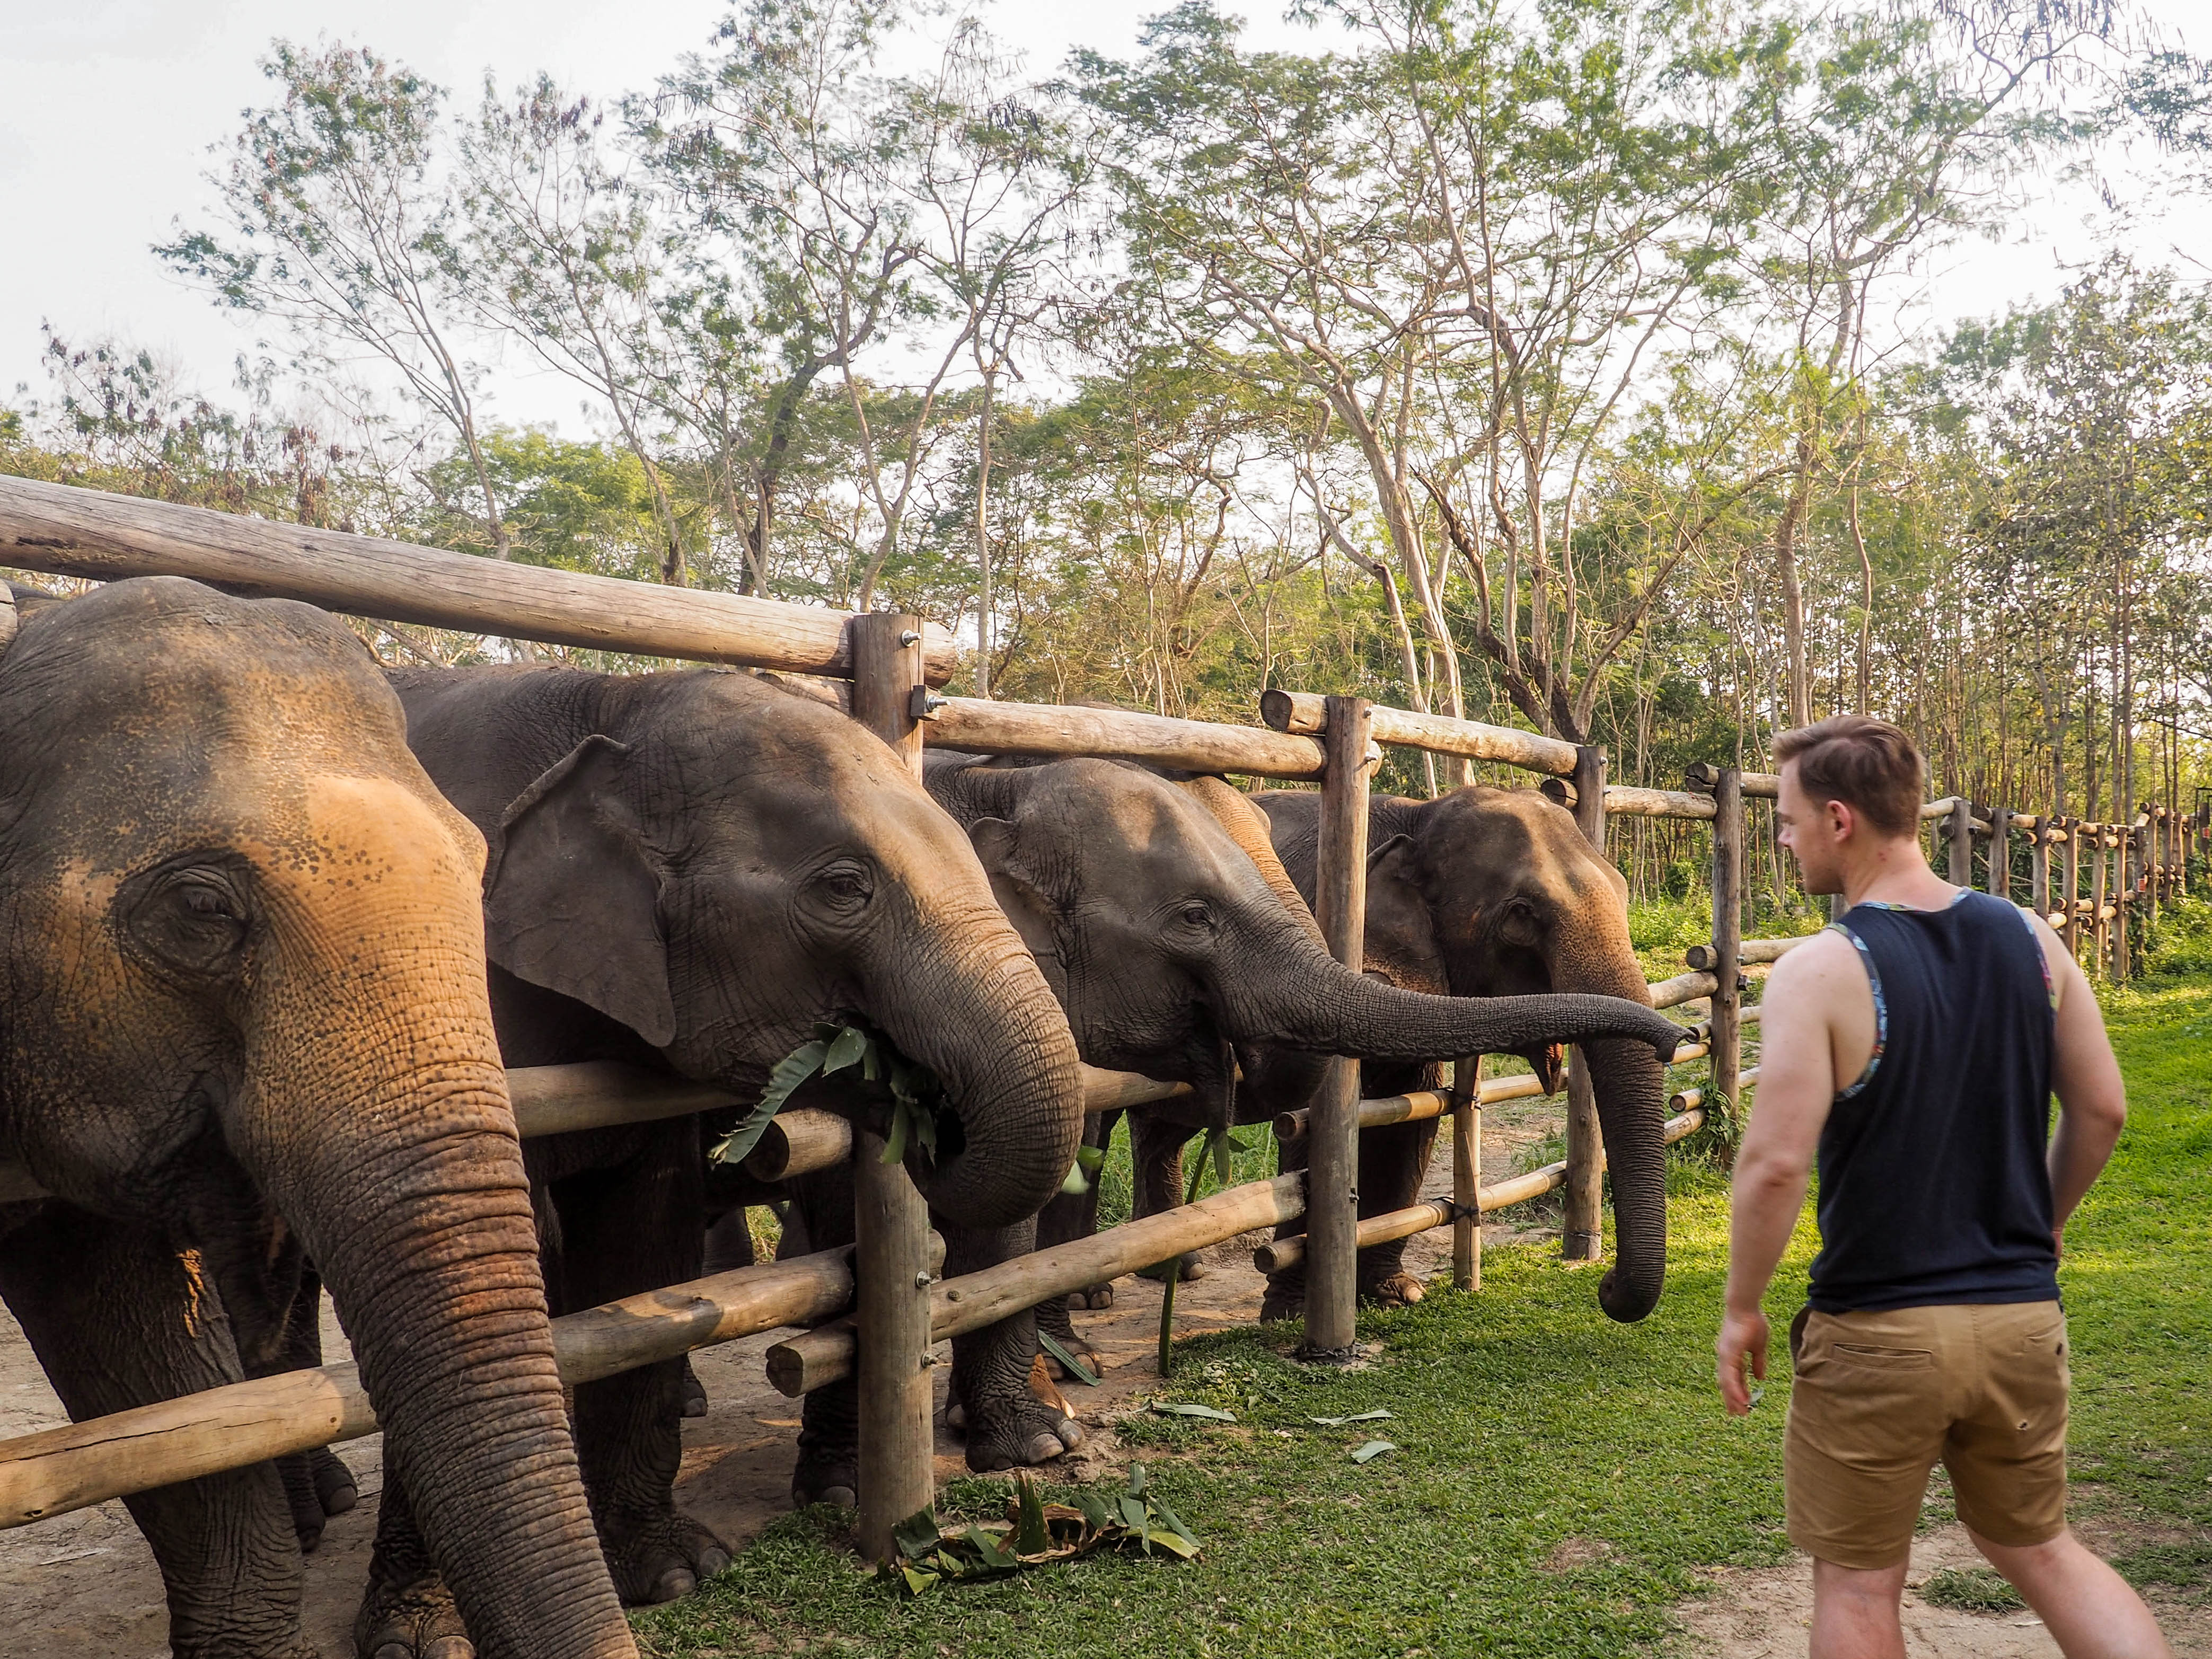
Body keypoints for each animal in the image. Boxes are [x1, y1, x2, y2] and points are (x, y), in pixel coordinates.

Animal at [351, 668, 1088, 1654]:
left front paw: (672, 1575)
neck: (618, 706)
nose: (929, 1109)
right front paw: (423, 1638)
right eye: (844, 886)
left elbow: (639, 1250)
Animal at [1256, 787, 1663, 1327]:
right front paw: (1289, 1313)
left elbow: (1410, 1113)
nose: (1607, 1284)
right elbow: (1306, 1125)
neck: (1417, 815)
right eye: (1520, 914)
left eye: (1621, 891)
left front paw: (1397, 1294)